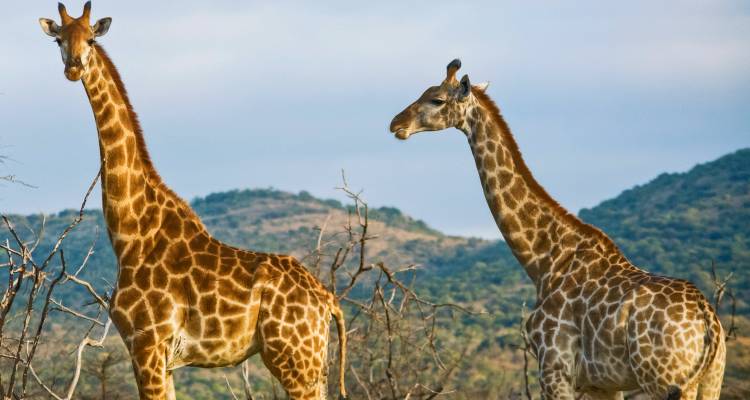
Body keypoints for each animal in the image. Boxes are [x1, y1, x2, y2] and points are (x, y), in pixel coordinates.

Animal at [38, 3, 347, 399]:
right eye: (59, 39)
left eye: (91, 38)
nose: (74, 67)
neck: (131, 234)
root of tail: (327, 300)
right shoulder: (161, 358)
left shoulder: (147, 344)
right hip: (313, 363)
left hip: (293, 357)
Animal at [389, 59, 725, 400]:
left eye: (437, 100)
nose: (395, 124)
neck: (543, 260)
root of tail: (709, 322)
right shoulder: (602, 384)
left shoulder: (554, 369)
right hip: (709, 379)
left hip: (663, 380)